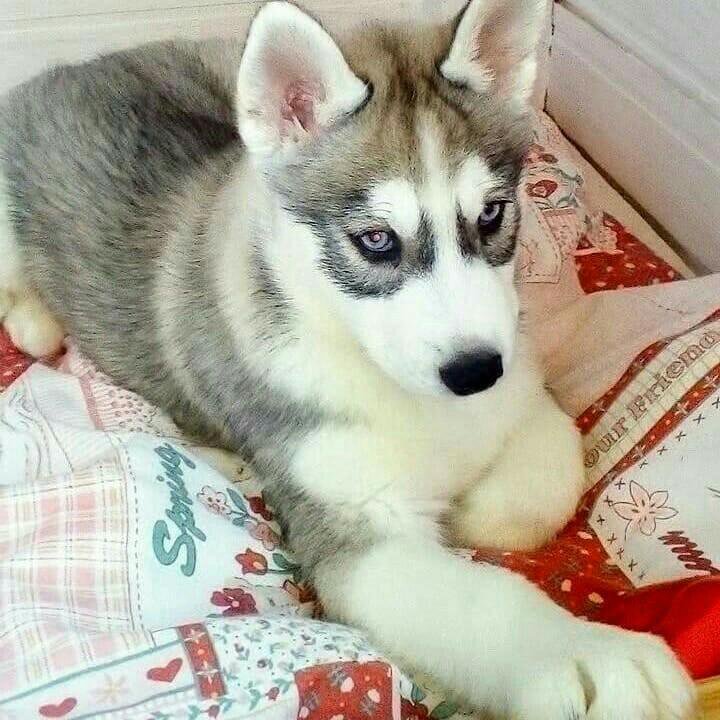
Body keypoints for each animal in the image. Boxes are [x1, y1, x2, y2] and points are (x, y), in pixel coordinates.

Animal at [0, 0, 695, 716]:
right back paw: (38, 323)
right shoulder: (356, 532)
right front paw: (591, 657)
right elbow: (485, 601)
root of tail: (70, 67)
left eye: (493, 214)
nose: (474, 373)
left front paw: (477, 510)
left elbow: (550, 473)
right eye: (377, 240)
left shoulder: (523, 383)